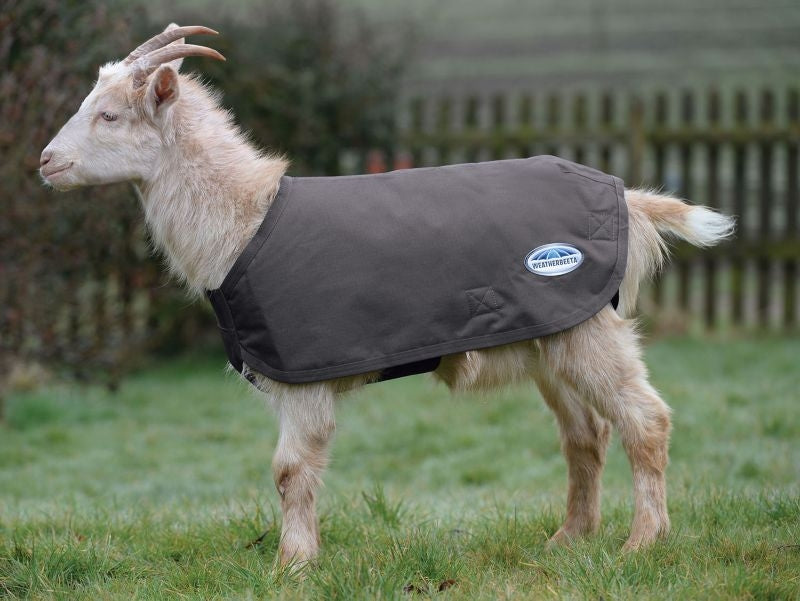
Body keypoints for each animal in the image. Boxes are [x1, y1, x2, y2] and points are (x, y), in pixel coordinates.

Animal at [41, 24, 735, 568]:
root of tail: (628, 199)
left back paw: (642, 543)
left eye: (109, 115)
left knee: (645, 421)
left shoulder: (303, 375)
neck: (245, 222)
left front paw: (291, 566)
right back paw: (567, 540)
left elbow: (289, 470)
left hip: (588, 331)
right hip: (552, 334)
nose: (46, 162)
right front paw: (301, 559)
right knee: (586, 435)